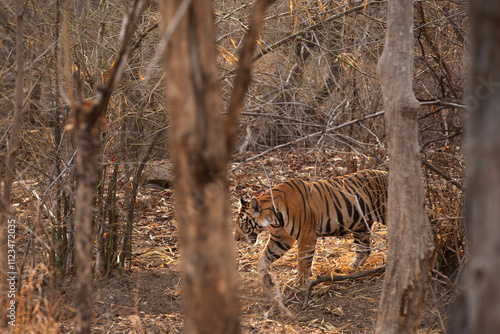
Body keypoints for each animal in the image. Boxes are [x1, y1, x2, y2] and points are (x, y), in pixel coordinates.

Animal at [236, 168, 388, 288]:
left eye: (243, 223)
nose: (236, 239)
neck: (274, 218)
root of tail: (385, 172)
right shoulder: (281, 238)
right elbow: (265, 256)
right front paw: (265, 279)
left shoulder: (306, 235)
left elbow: (303, 260)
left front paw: (298, 282)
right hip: (360, 226)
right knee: (364, 250)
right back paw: (351, 268)